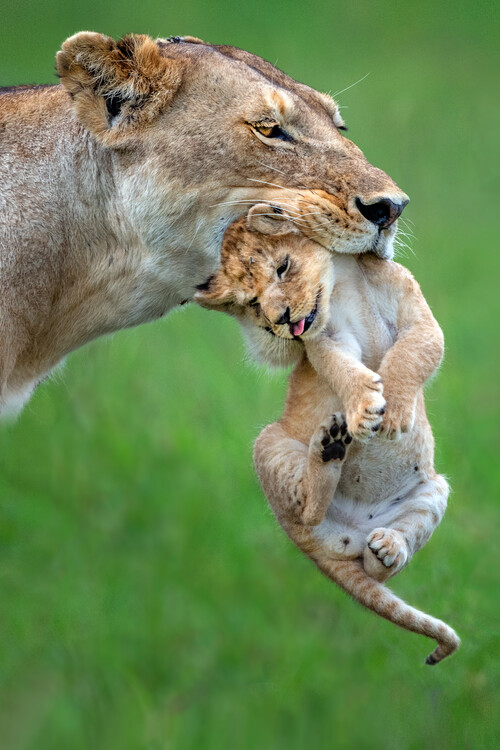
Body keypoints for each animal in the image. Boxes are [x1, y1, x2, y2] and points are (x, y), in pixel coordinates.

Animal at [195, 209, 460, 664]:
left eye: (283, 267)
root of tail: (325, 546)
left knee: (380, 568)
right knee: (309, 510)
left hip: (434, 490)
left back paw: (388, 547)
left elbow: (415, 352)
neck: (347, 280)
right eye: (252, 303)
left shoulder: (417, 314)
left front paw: (394, 412)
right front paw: (366, 408)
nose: (283, 320)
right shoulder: (325, 340)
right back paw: (330, 448)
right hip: (269, 445)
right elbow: (340, 366)